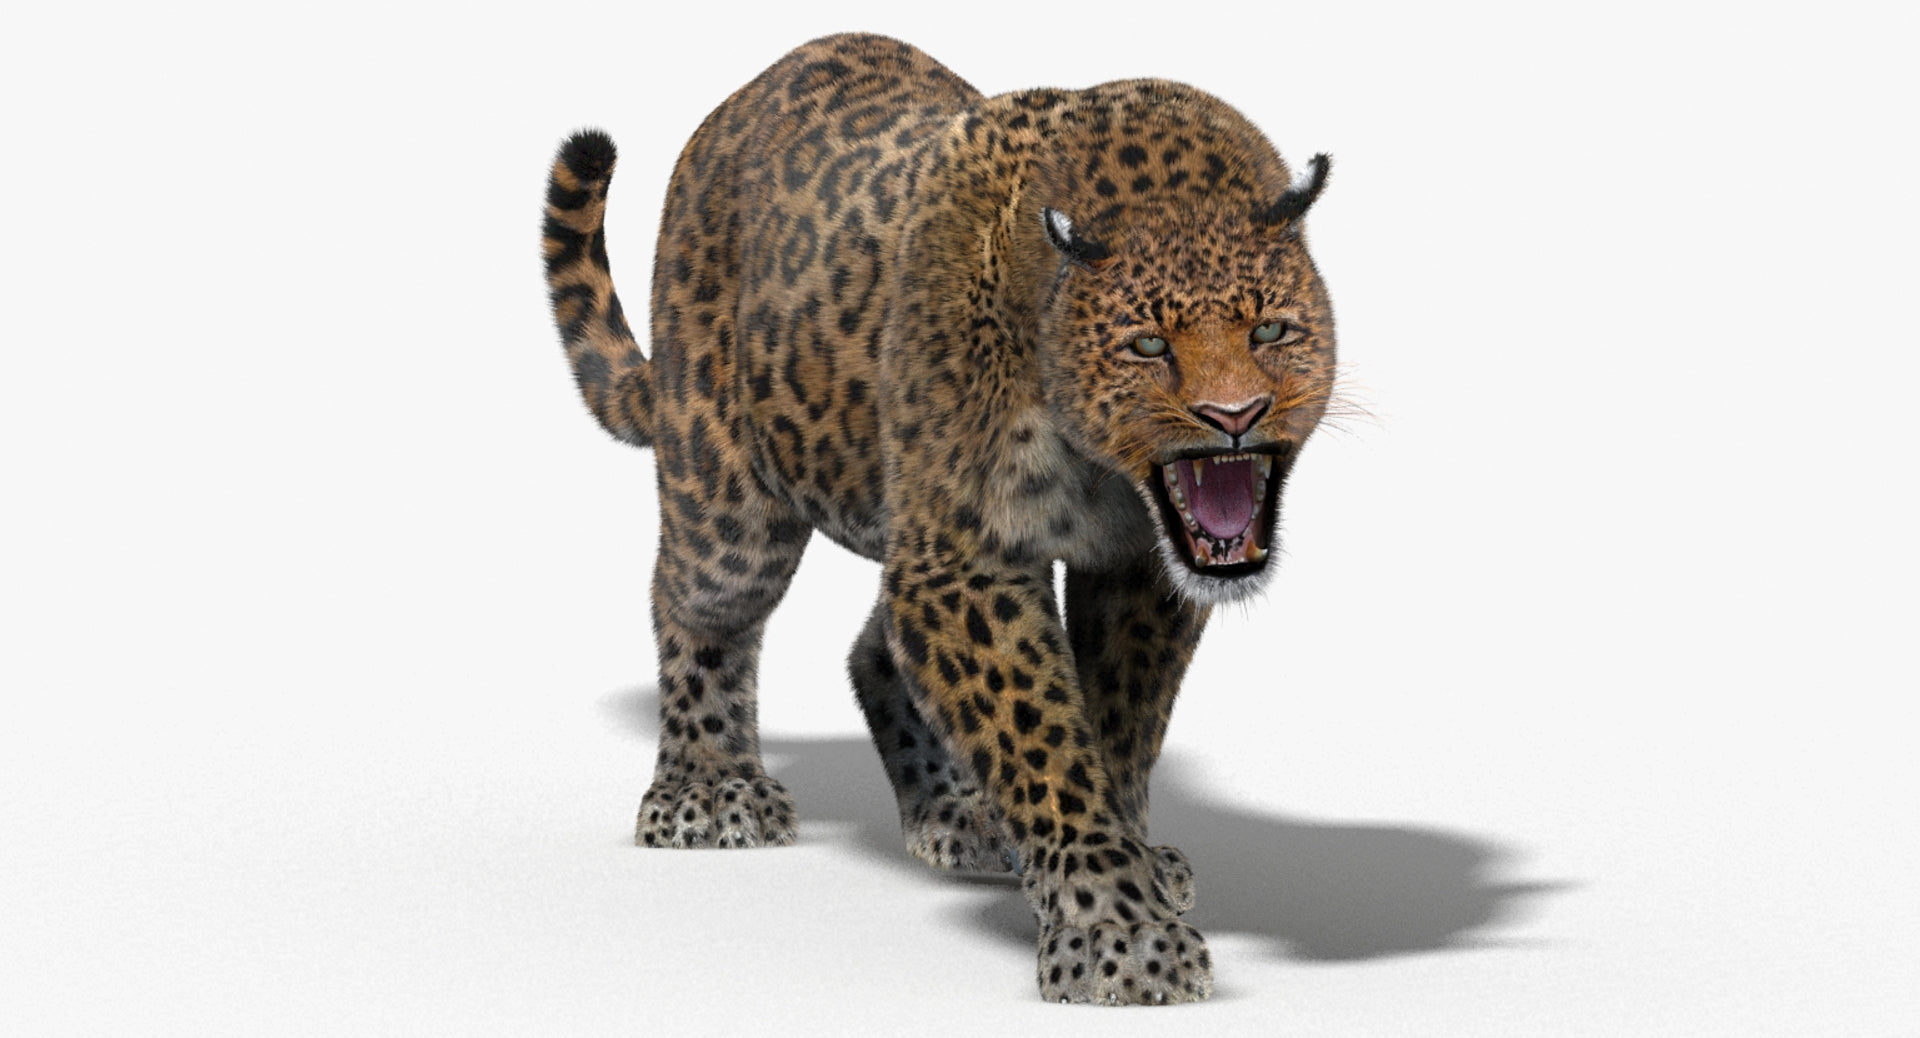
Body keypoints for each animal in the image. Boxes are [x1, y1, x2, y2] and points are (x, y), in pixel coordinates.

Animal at [541, 32, 1336, 1005]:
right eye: (1148, 345)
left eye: (1271, 332)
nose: (1236, 416)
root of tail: (736, 105)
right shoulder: (967, 557)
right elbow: (1040, 733)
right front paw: (1119, 931)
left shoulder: (1136, 566)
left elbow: (1117, 721)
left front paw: (1122, 868)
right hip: (727, 497)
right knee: (697, 607)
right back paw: (709, 788)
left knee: (875, 645)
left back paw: (959, 814)